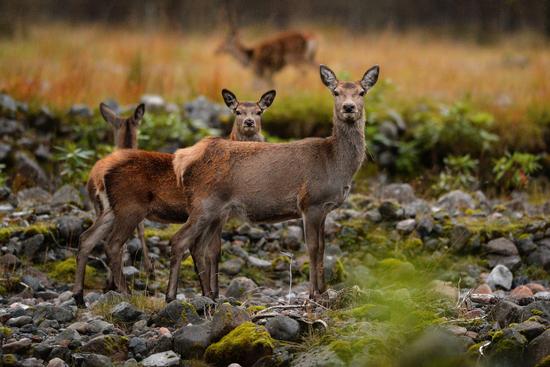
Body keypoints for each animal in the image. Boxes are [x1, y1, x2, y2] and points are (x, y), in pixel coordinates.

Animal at [169, 64, 380, 304]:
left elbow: (323, 248)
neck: (335, 163)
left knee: (199, 246)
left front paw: (324, 292)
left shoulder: (324, 208)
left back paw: (208, 296)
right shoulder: (310, 202)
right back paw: (171, 296)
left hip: (215, 210)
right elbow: (313, 248)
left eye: (362, 92)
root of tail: (183, 159)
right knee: (179, 240)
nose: (349, 107)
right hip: (204, 202)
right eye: (335, 92)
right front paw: (312, 294)